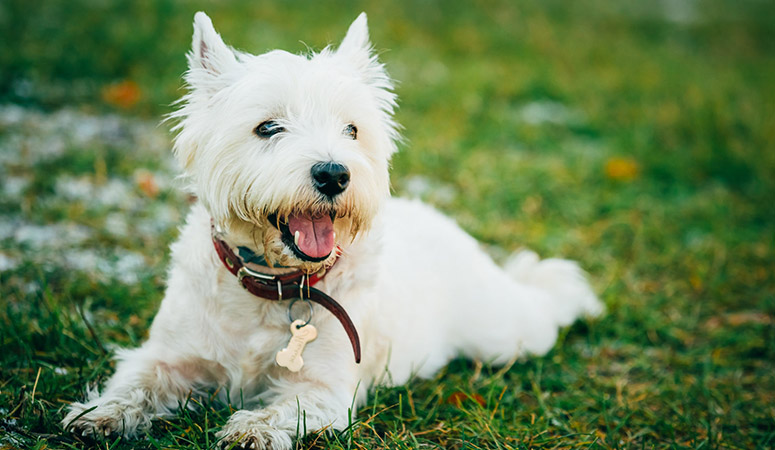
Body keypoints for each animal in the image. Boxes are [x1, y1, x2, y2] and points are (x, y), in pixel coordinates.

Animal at [63, 12, 604, 448]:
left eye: (352, 130)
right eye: (268, 127)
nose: (334, 174)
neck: (273, 285)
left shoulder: (324, 389)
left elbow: (282, 409)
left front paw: (249, 429)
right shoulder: (169, 354)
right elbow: (136, 382)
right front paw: (100, 415)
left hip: (502, 333)